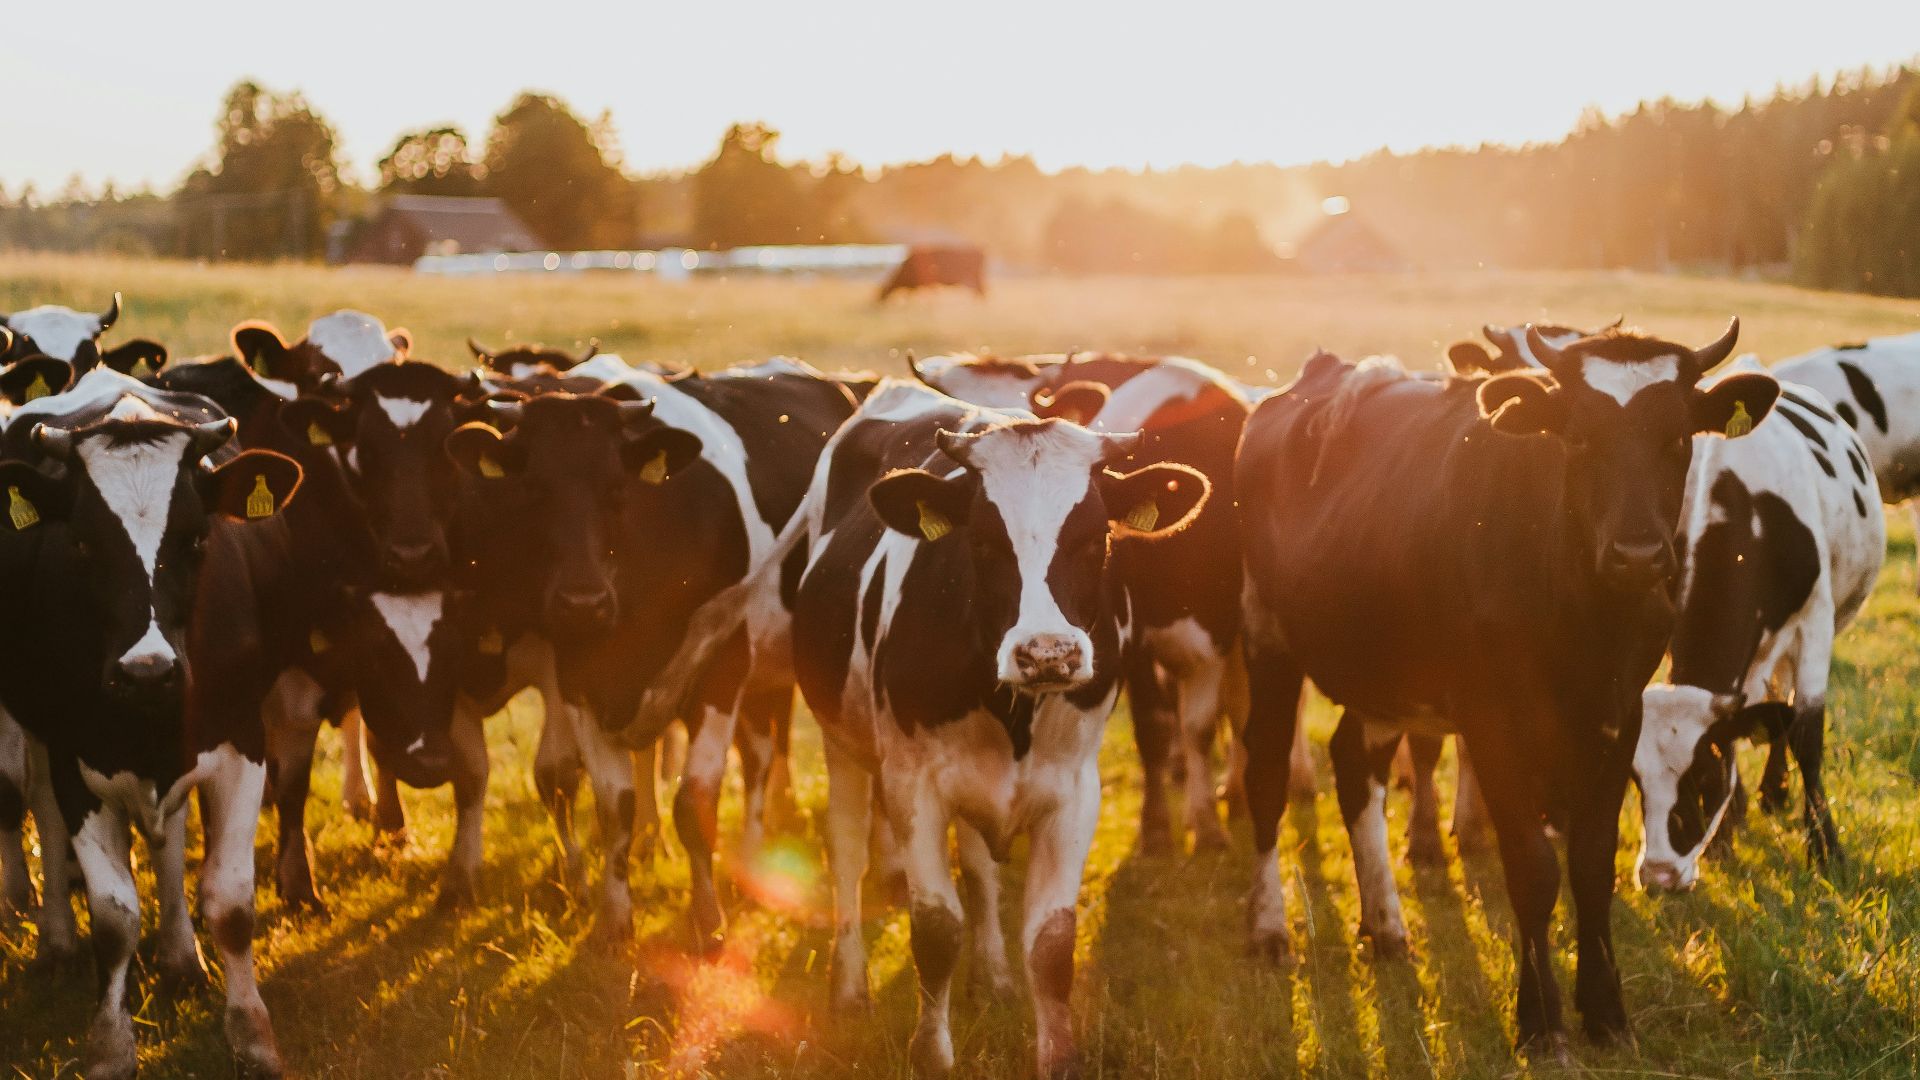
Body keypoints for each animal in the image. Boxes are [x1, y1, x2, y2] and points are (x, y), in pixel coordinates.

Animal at [0, 366, 303, 1079]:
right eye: (82, 543)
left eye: (197, 539)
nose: (148, 672)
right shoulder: (76, 754)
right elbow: (113, 918)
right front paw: (110, 1045)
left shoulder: (241, 742)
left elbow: (231, 902)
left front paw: (253, 1035)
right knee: (44, 814)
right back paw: (56, 943)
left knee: (170, 839)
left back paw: (179, 957)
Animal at [768, 381, 1208, 1078]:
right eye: (981, 541)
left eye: (1094, 539)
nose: (1048, 652)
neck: (1014, 710)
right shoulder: (913, 785)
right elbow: (934, 927)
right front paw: (930, 1053)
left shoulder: (1074, 790)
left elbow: (1052, 941)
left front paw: (1055, 1053)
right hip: (842, 744)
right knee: (847, 855)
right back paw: (850, 988)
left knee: (979, 870)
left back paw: (994, 978)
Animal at [1235, 322, 1776, 1057]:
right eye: (1578, 438)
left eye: (1677, 438)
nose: (1637, 554)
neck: (1581, 610)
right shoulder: (1490, 718)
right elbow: (1532, 866)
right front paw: (1541, 1018)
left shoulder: (1618, 714)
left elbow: (1592, 864)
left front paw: (1606, 1011)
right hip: (1266, 636)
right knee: (1266, 773)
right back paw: (1268, 927)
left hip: (1384, 672)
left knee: (1354, 767)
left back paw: (1385, 924)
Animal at [1635, 361, 1884, 890]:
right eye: (1636, 783)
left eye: (1703, 779)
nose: (1660, 876)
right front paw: (1724, 836)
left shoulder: (1816, 623)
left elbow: (1807, 734)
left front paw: (1825, 847)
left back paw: (1776, 792)